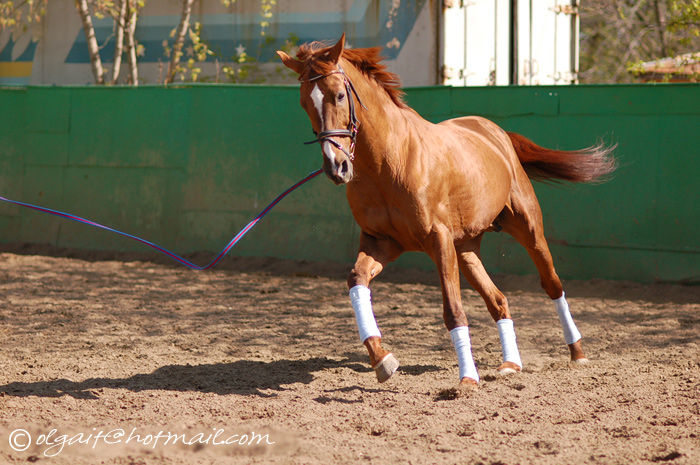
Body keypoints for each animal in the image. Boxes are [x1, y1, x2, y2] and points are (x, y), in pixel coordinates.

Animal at [276, 34, 616, 390]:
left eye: (340, 94)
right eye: (304, 103)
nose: (336, 166)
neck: (389, 163)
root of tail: (494, 132)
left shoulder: (436, 240)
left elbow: (453, 310)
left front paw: (467, 380)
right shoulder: (381, 242)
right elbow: (357, 281)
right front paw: (383, 360)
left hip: (528, 229)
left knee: (552, 285)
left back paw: (577, 353)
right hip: (465, 250)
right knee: (498, 300)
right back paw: (510, 364)